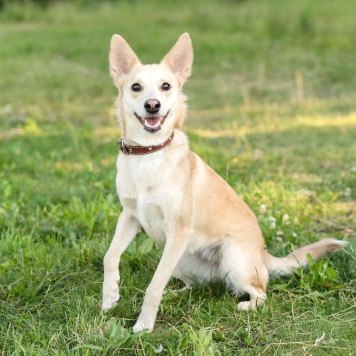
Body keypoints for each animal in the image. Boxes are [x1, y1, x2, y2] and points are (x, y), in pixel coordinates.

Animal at [101, 32, 348, 332]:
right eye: (136, 87)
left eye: (165, 86)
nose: (152, 105)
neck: (149, 154)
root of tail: (262, 253)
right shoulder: (130, 216)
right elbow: (110, 256)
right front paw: (110, 296)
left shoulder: (178, 230)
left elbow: (154, 285)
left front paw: (144, 325)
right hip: (179, 257)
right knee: (195, 285)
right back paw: (177, 293)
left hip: (231, 259)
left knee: (261, 291)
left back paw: (247, 305)